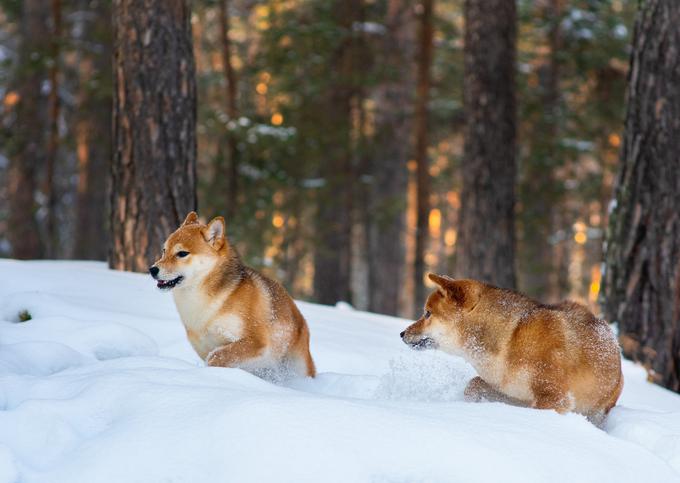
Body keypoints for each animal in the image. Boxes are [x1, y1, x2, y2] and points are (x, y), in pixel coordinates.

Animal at [150, 214, 314, 380]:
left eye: (182, 253)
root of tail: (302, 321)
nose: (152, 270)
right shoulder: (205, 346)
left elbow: (215, 357)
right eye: (164, 251)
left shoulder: (255, 341)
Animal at [402, 274, 624, 426]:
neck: (510, 342)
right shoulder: (511, 392)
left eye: (427, 313)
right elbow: (473, 384)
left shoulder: (554, 397)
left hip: (597, 409)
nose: (402, 333)